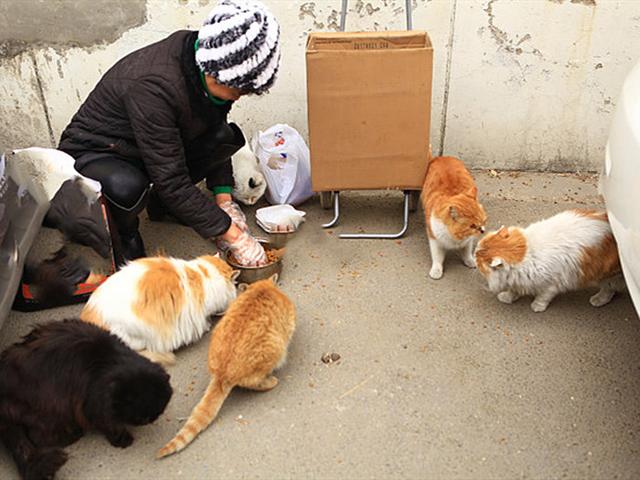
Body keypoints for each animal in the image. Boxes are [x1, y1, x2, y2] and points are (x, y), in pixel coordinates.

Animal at [0, 318, 172, 480]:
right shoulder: (93, 405)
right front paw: (122, 439)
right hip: (52, 408)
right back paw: (74, 435)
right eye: (138, 416)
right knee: (39, 437)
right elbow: (109, 424)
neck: (109, 363)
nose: (148, 420)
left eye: (156, 411)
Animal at [476, 209, 624, 314]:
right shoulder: (519, 279)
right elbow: (514, 290)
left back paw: (597, 300)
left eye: (478, 260)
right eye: (477, 248)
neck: (527, 252)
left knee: (609, 290)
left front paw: (537, 306)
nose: (474, 253)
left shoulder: (551, 284)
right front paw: (507, 297)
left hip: (606, 276)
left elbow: (543, 297)